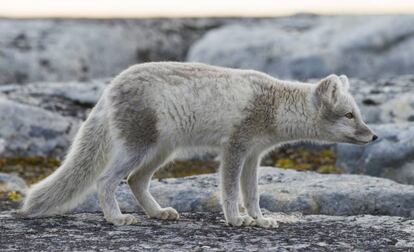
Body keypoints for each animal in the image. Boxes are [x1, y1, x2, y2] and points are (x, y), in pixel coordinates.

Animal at [20, 62, 378, 227]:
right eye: (349, 115)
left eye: (359, 114)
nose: (375, 136)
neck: (274, 105)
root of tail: (111, 86)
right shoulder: (234, 148)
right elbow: (231, 192)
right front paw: (236, 220)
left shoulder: (254, 156)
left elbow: (252, 194)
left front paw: (260, 220)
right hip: (139, 149)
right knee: (106, 180)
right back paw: (117, 218)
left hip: (161, 152)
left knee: (135, 181)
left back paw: (158, 213)